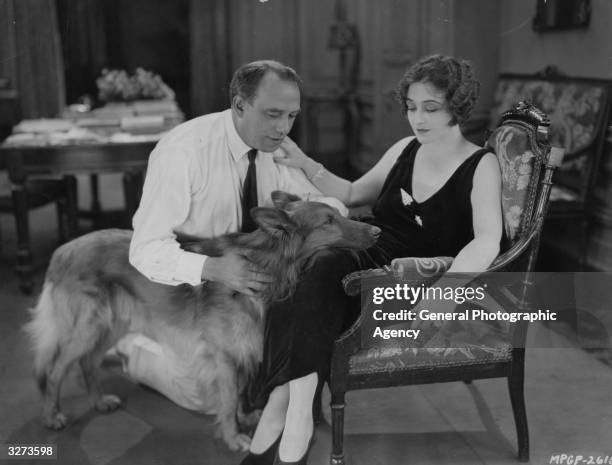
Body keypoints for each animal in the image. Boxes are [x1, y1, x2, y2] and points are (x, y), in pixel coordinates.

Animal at [26, 191, 380, 450]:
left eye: (340, 214)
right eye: (329, 221)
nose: (376, 230)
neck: (268, 263)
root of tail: (63, 250)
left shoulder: (241, 350)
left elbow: (239, 391)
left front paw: (244, 419)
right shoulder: (224, 355)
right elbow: (229, 396)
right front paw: (233, 436)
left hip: (112, 325)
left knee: (87, 363)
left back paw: (99, 401)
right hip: (89, 327)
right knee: (56, 370)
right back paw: (52, 415)